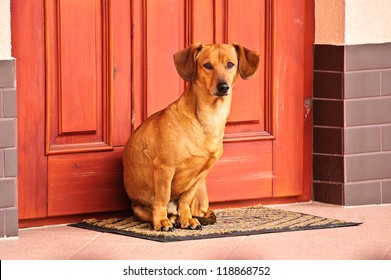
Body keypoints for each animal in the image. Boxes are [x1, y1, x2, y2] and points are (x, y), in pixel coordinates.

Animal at [124, 42, 260, 231]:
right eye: (207, 65)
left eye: (230, 64)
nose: (223, 87)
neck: (208, 119)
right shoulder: (165, 169)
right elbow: (161, 198)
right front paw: (161, 221)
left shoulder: (201, 175)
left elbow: (185, 199)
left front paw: (186, 219)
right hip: (139, 206)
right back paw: (167, 217)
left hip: (202, 190)